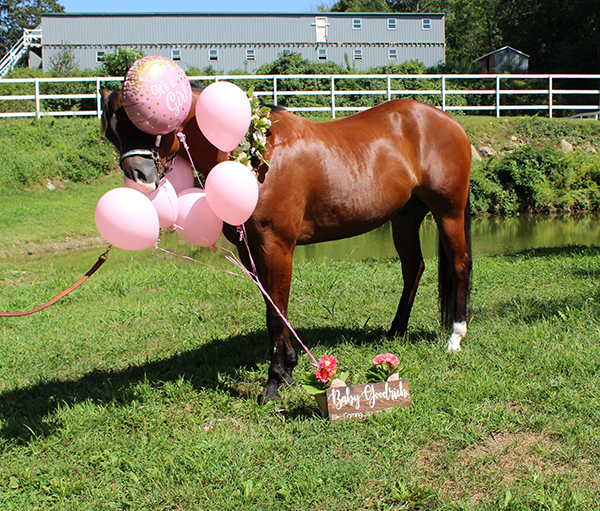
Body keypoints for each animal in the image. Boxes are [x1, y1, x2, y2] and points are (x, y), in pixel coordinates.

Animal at [99, 87, 474, 400]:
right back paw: (395, 331)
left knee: (460, 264)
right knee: (414, 268)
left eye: (149, 121)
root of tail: (448, 121)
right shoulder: (249, 249)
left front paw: (274, 381)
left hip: (448, 212)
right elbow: (273, 306)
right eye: (111, 132)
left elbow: (276, 313)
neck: (253, 154)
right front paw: (290, 369)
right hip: (405, 217)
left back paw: (455, 337)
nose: (139, 178)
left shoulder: (276, 245)